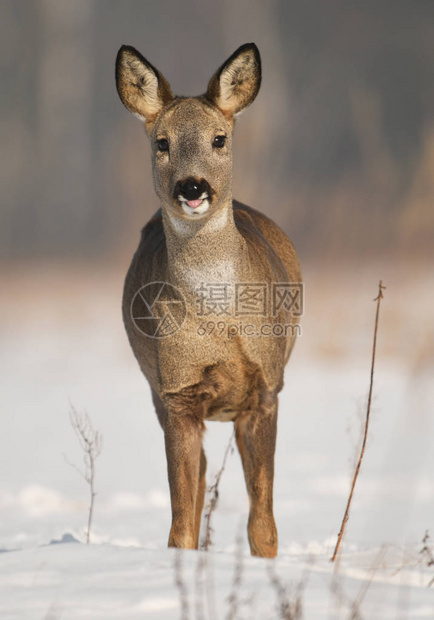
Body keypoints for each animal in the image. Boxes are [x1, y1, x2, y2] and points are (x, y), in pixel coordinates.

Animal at [117, 42, 304, 556]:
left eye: (219, 139)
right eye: (161, 142)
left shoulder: (267, 387)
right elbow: (181, 524)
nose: (192, 186)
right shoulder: (178, 390)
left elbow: (264, 525)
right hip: (156, 391)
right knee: (198, 478)